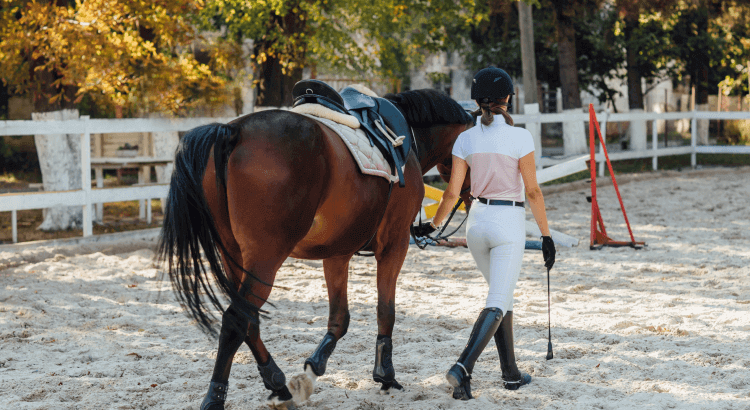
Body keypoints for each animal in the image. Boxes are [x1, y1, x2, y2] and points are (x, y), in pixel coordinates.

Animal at [158, 88, 476, 408]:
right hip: (265, 259)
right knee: (236, 320)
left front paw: (314, 368)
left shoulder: (337, 253)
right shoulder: (394, 245)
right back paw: (215, 396)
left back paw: (277, 382)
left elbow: (340, 319)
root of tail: (233, 131)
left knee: (249, 320)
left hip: (234, 257)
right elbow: (386, 310)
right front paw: (385, 374)